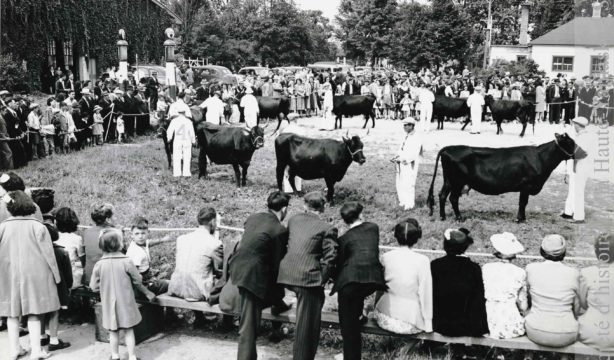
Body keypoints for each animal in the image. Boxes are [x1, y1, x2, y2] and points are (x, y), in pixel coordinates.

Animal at [430, 133, 588, 222]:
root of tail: (450, 148)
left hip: (449, 180)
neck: (540, 158)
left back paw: (443, 217)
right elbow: (522, 203)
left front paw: (522, 218)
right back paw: (459, 218)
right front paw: (520, 219)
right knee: (453, 198)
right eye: (570, 143)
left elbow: (524, 203)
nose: (585, 153)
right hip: (457, 181)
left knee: (442, 195)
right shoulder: (526, 186)